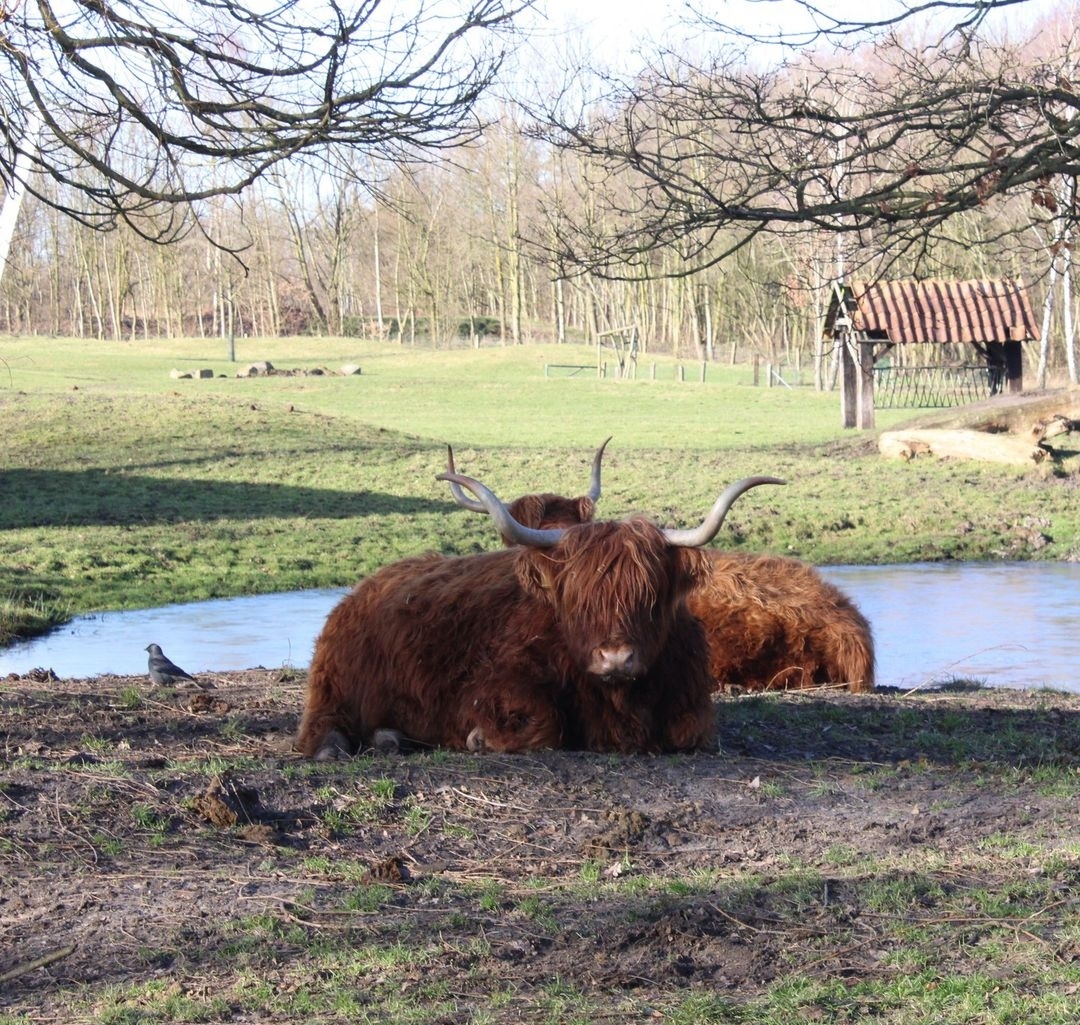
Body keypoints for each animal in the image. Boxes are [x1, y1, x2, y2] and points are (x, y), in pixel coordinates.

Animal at [295, 470, 783, 759]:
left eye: (647, 594)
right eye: (578, 597)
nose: (616, 659)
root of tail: (365, 586)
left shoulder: (690, 701)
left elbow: (689, 731)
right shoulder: (493, 685)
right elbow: (545, 725)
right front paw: (479, 737)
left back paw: (389, 738)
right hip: (333, 684)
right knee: (321, 727)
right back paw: (342, 746)